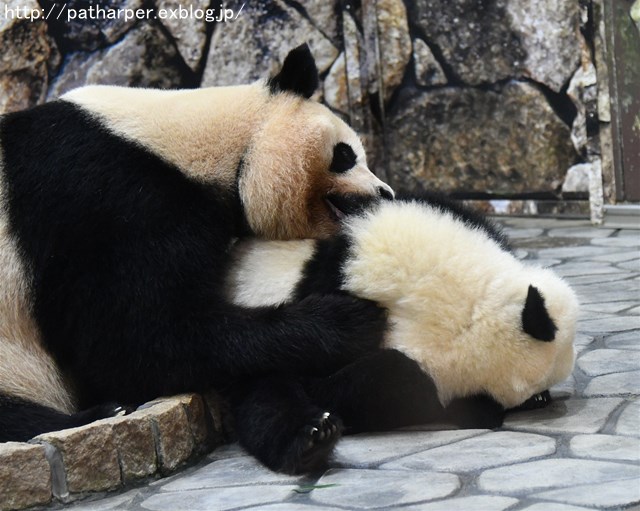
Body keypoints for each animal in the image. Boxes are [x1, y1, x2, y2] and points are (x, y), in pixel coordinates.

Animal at [0, 45, 392, 444]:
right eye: (345, 154)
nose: (386, 193)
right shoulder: (111, 200)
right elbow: (135, 340)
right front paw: (346, 319)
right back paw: (101, 413)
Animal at [226, 194, 580, 474]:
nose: (541, 395)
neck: (469, 313)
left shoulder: (416, 376)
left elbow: (358, 388)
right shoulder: (401, 236)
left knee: (266, 403)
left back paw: (312, 439)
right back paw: (313, 436)